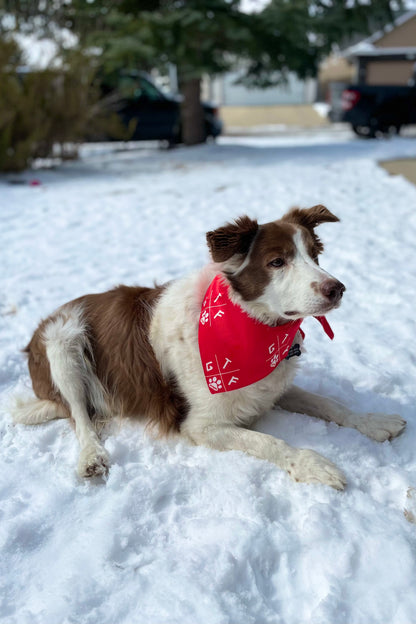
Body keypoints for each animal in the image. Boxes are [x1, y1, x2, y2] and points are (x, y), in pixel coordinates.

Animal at [13, 205, 406, 488]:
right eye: (277, 262)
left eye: (314, 256)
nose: (336, 288)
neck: (252, 327)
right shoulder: (200, 425)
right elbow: (270, 442)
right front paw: (313, 465)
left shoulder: (270, 387)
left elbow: (329, 403)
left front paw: (374, 420)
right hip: (63, 340)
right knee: (80, 418)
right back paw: (92, 457)